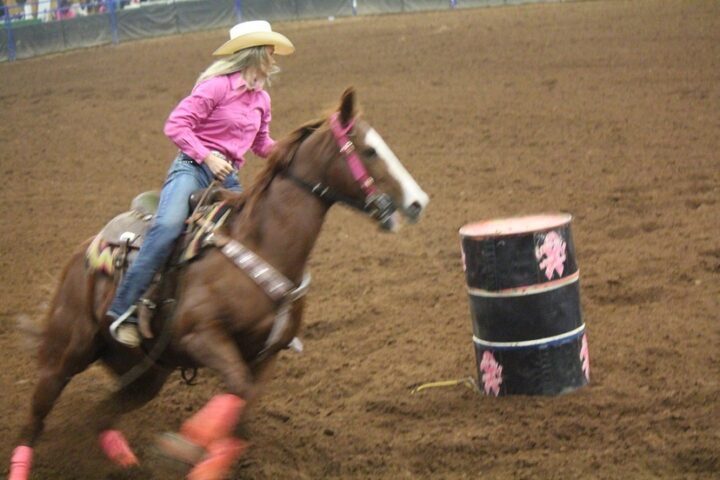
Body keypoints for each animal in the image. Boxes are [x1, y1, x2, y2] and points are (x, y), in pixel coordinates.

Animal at [8, 89, 428, 480]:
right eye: (369, 150)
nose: (417, 202)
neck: (263, 244)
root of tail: (83, 251)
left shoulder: (266, 355)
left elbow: (241, 415)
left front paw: (196, 454)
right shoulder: (202, 335)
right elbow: (237, 390)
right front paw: (182, 445)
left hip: (147, 373)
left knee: (101, 415)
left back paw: (123, 458)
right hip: (66, 353)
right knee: (35, 420)